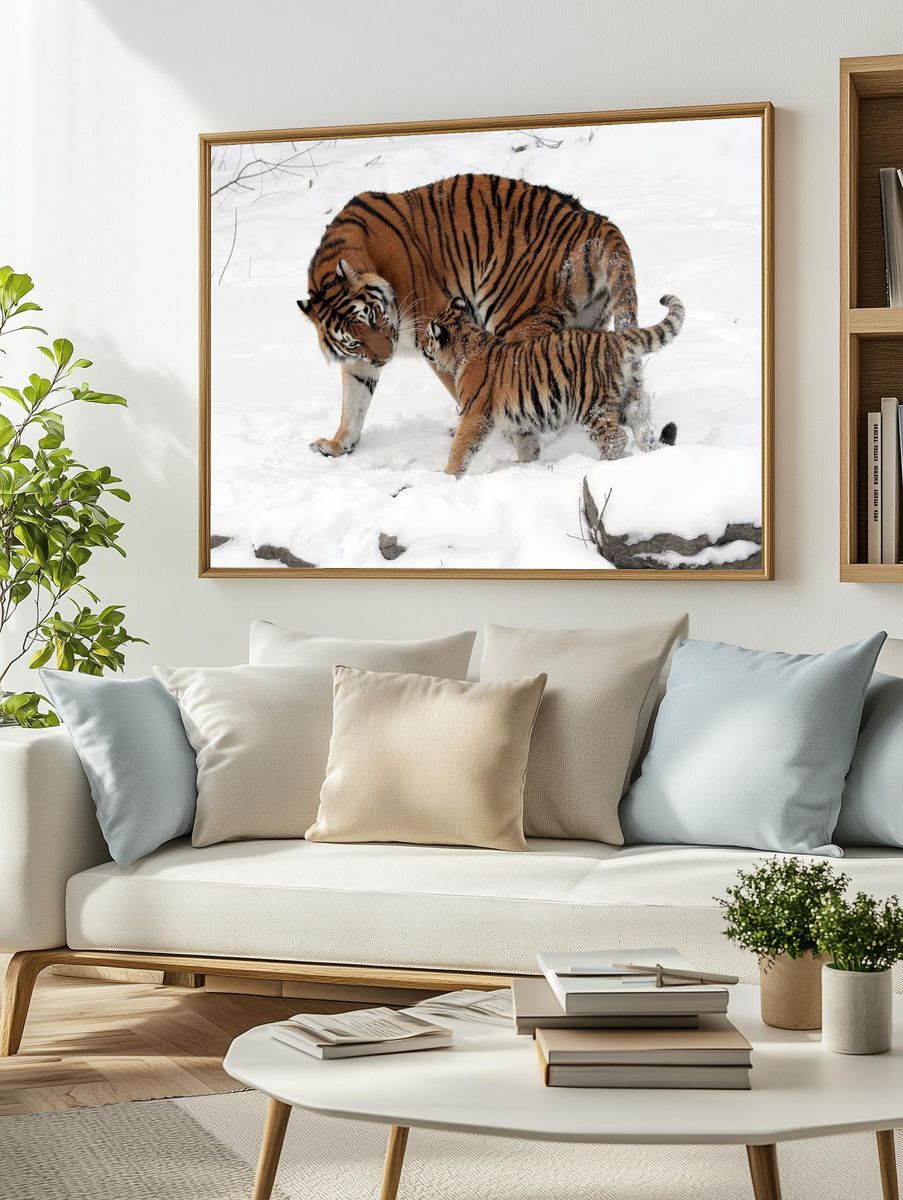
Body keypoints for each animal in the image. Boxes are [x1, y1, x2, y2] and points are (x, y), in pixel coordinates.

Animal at [296, 174, 639, 457]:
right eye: (353, 342)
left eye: (373, 317)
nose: (385, 358)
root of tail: (596, 222)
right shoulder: (360, 359)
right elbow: (354, 400)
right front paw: (338, 445)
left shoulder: (435, 330)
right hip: (585, 323)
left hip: (516, 317)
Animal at [421, 294, 685, 478]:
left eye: (428, 336)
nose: (421, 345)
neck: (466, 345)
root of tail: (614, 338)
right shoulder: (520, 420)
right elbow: (527, 446)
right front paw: (526, 465)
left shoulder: (475, 414)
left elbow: (461, 447)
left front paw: (446, 476)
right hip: (632, 397)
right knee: (644, 426)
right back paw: (649, 452)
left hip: (591, 405)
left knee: (616, 437)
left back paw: (599, 463)